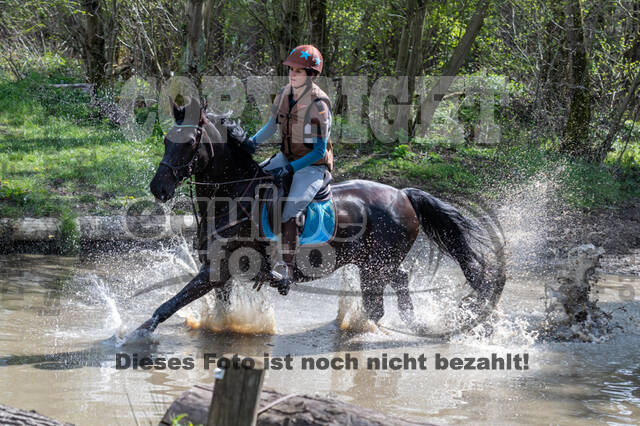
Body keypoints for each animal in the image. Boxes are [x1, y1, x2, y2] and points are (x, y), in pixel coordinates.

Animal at [134, 98, 504, 338]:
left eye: (189, 142)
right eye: (166, 140)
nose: (158, 188)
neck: (234, 195)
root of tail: (403, 195)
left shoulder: (216, 270)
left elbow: (166, 305)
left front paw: (135, 336)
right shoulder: (218, 274)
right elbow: (217, 311)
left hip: (375, 266)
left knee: (380, 302)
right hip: (373, 263)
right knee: (398, 281)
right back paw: (410, 324)